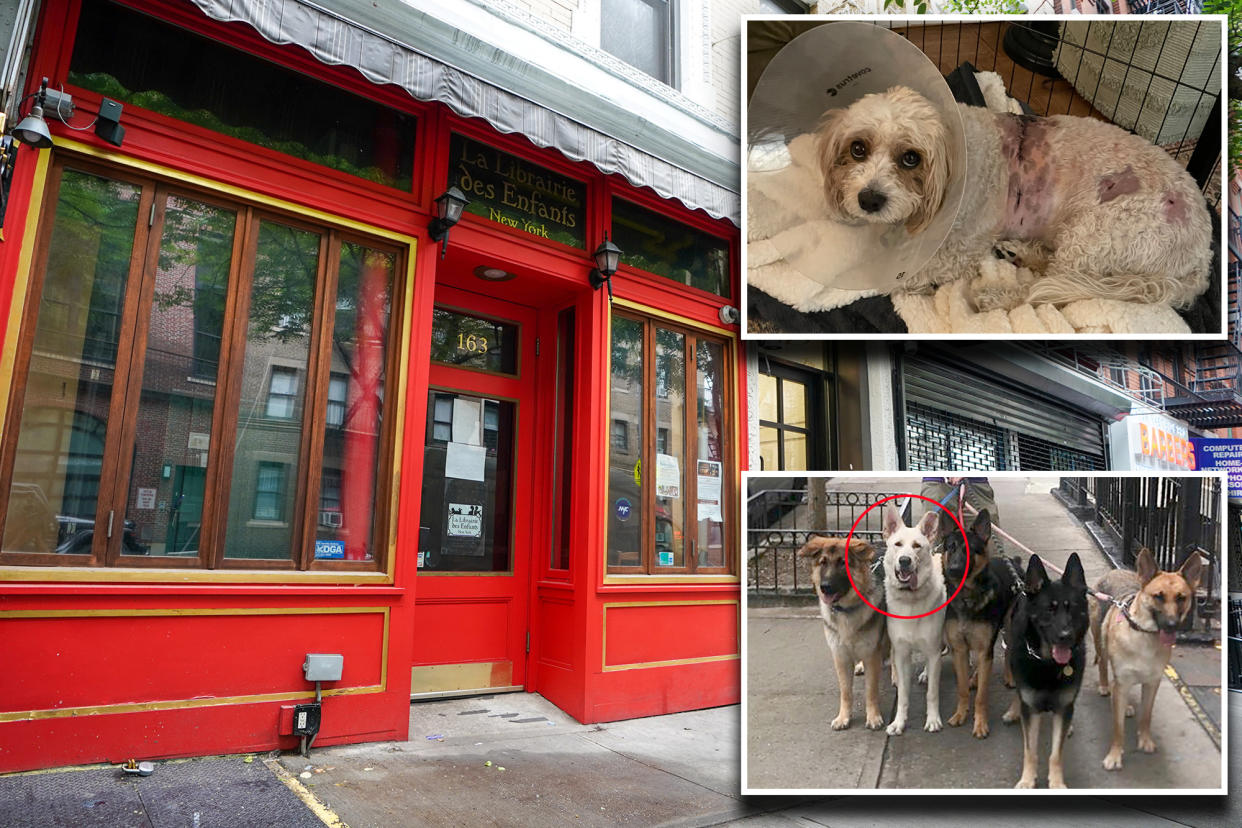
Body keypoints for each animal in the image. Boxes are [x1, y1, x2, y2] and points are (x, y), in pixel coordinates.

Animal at [799, 533, 889, 729]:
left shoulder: (871, 654)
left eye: (842, 563)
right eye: (823, 562)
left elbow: (871, 690)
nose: (825, 587)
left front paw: (873, 716)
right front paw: (843, 717)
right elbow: (846, 691)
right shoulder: (840, 656)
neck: (846, 609)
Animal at [814, 85, 1212, 310]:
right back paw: (1020, 252)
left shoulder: (961, 247)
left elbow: (909, 275)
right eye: (858, 149)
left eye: (911, 157)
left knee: (1051, 288)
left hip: (1099, 232)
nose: (869, 200)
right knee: (1054, 275)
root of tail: (1202, 256)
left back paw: (997, 296)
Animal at [879, 506, 943, 739]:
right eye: (897, 544)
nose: (905, 560)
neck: (911, 601)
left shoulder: (933, 651)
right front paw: (899, 722)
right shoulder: (901, 653)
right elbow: (903, 694)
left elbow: (932, 693)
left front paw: (933, 720)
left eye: (917, 546)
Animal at [938, 511, 1018, 739]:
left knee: (1008, 650)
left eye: (970, 549)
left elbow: (982, 695)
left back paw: (1009, 676)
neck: (967, 597)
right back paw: (974, 678)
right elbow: (962, 688)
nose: (954, 570)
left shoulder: (984, 650)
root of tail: (1013, 562)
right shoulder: (959, 649)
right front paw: (960, 714)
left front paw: (980, 724)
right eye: (951, 547)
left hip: (1010, 627)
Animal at [1097, 546, 1202, 774]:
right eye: (1158, 597)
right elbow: (1118, 729)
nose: (1171, 626)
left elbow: (1146, 716)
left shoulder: (1152, 683)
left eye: (1181, 598)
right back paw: (1105, 687)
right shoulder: (1123, 680)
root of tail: (1115, 571)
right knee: (1102, 664)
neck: (1144, 634)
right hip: (1100, 643)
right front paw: (1114, 756)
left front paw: (1144, 740)